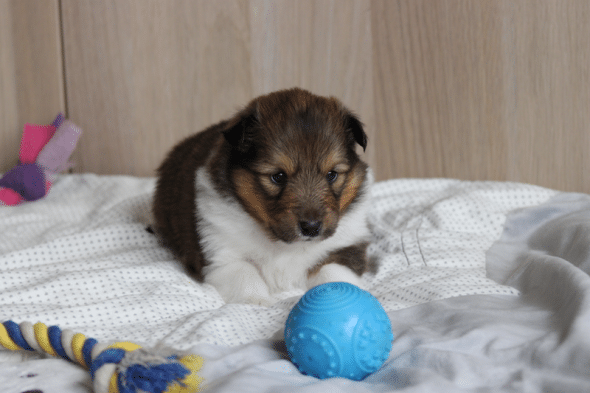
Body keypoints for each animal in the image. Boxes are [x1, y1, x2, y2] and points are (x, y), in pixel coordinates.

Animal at [153, 87, 374, 304]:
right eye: (278, 176)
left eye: (332, 174)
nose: (311, 228)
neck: (282, 243)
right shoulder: (221, 256)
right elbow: (245, 273)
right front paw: (257, 301)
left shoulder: (346, 247)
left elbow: (334, 273)